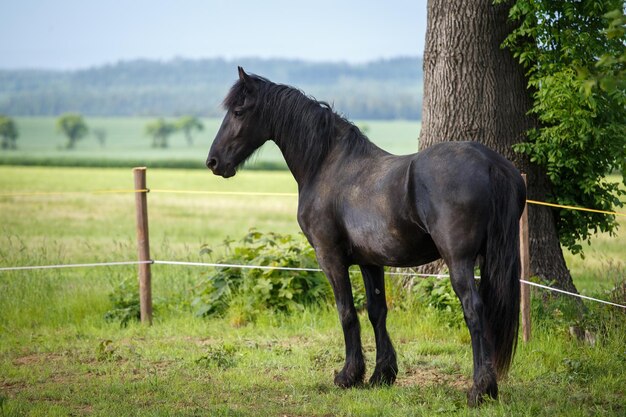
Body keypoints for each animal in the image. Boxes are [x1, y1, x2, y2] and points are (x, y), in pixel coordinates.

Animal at [207, 66, 524, 404]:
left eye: (238, 112)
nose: (213, 162)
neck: (327, 165)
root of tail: (490, 162)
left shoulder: (330, 258)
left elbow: (347, 312)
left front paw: (349, 375)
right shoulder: (371, 261)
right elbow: (376, 312)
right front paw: (381, 375)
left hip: (459, 261)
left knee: (474, 309)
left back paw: (480, 389)